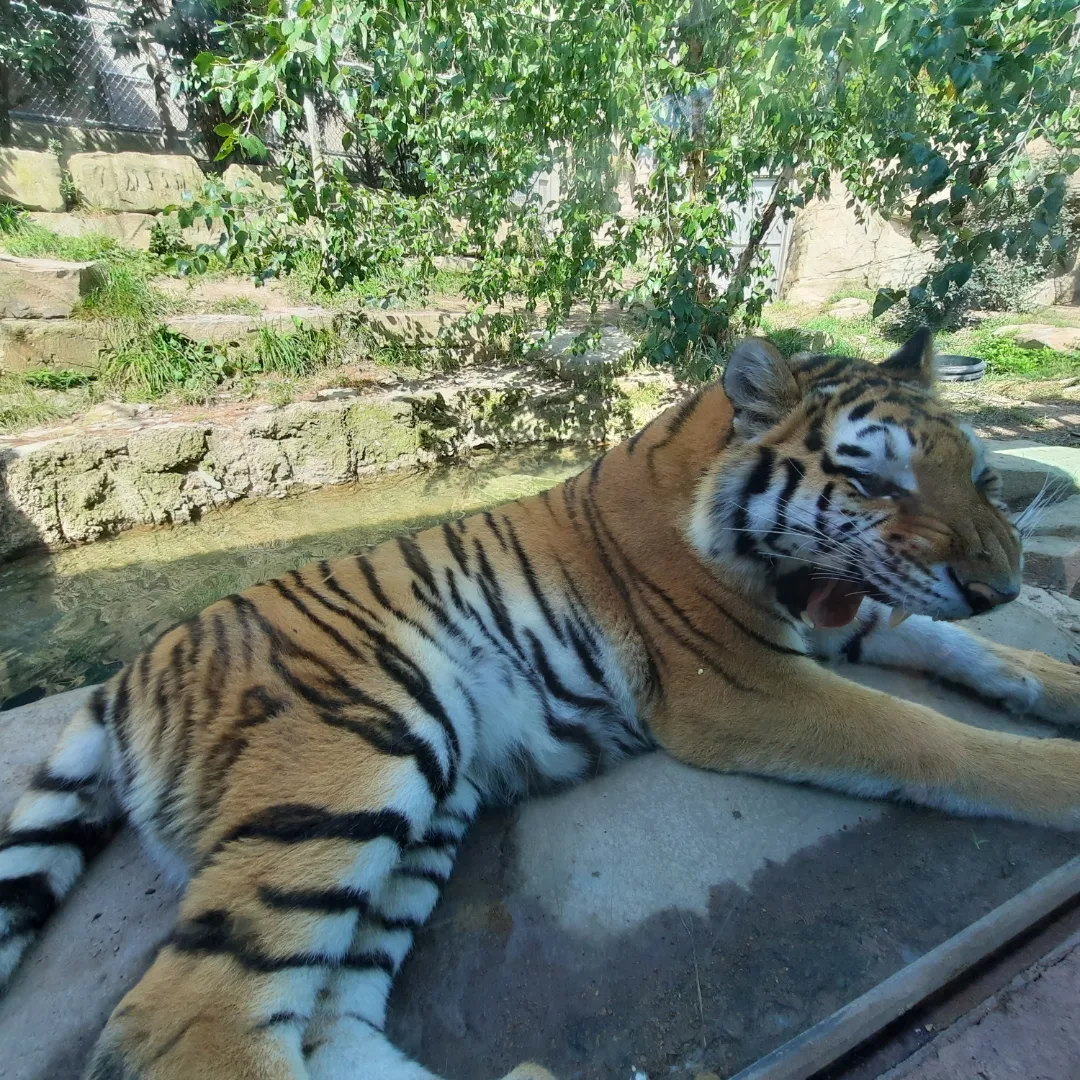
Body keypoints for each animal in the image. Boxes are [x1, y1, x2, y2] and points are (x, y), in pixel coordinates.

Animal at [2, 326, 1079, 1080]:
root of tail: (126, 675)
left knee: (329, 1019)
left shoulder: (830, 622)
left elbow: (961, 647)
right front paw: (1057, 776)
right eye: (872, 482)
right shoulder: (739, 688)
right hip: (355, 758)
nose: (1002, 586)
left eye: (983, 476)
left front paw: (1053, 681)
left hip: (431, 802)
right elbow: (925, 735)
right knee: (187, 1019)